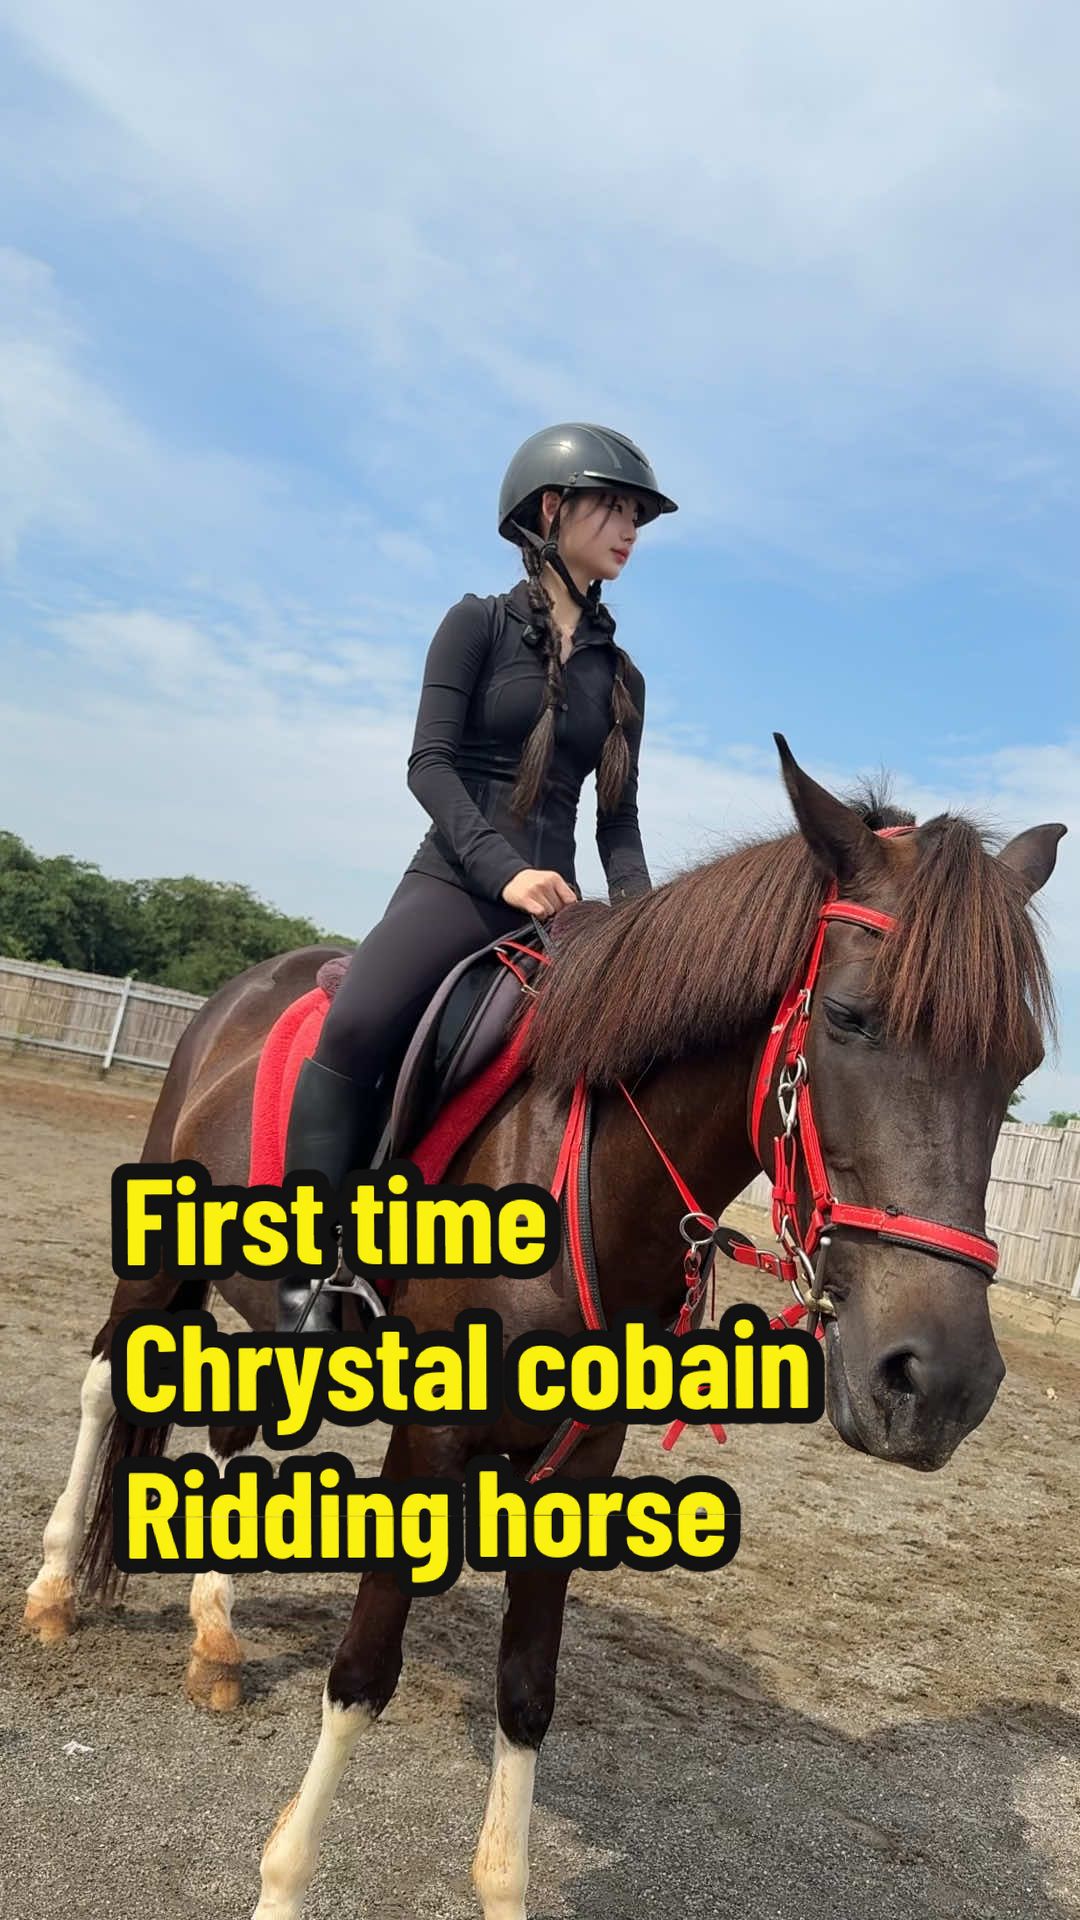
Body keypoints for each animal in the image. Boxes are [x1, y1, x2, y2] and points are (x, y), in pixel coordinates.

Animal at [22, 737, 1063, 1920]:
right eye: (847, 1018)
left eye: (1019, 1066)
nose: (938, 1384)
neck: (590, 1180)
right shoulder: (430, 1440)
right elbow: (362, 1672)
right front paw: (284, 1882)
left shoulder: (581, 1458)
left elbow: (527, 1691)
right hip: (156, 1268)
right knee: (106, 1383)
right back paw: (53, 1591)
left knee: (242, 1428)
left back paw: (213, 1636)